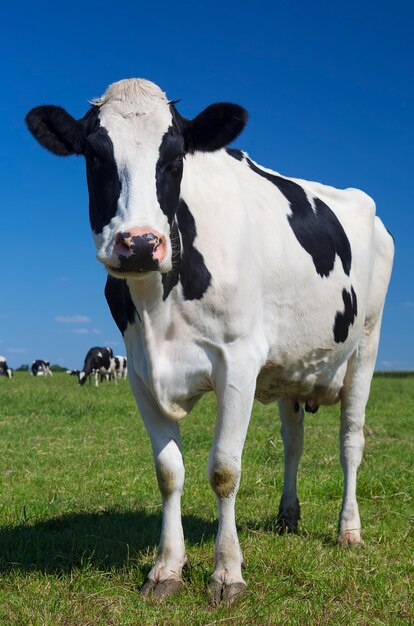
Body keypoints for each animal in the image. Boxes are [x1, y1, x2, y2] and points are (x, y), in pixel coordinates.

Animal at [26, 78, 394, 600]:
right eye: (94, 156)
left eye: (176, 157)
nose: (140, 243)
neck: (158, 308)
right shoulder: (140, 372)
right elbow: (168, 472)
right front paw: (166, 568)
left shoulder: (238, 361)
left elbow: (224, 469)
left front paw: (226, 572)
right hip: (292, 367)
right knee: (293, 441)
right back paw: (287, 516)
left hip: (366, 345)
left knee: (351, 441)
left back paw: (348, 529)